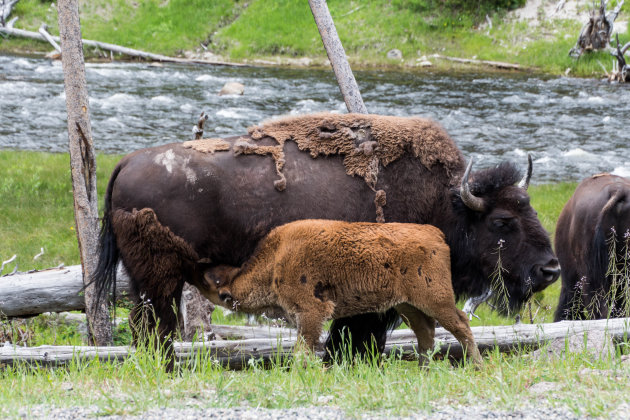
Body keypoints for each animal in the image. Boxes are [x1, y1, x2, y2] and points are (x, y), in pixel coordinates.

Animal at [202, 218, 484, 366]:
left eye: (222, 293)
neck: (277, 258)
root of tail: (435, 234)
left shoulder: (311, 312)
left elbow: (303, 349)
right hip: (407, 305)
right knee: (425, 331)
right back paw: (425, 368)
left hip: (435, 299)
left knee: (460, 323)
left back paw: (476, 365)